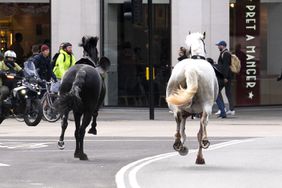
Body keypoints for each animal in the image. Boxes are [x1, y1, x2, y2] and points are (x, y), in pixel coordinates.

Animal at [166, 32, 219, 164]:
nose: (182, 51)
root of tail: (191, 69)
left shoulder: (185, 113)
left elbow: (183, 130)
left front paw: (182, 147)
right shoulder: (200, 112)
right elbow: (199, 132)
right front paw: (199, 157)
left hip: (174, 104)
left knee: (177, 119)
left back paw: (178, 143)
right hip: (207, 106)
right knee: (203, 123)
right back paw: (204, 141)